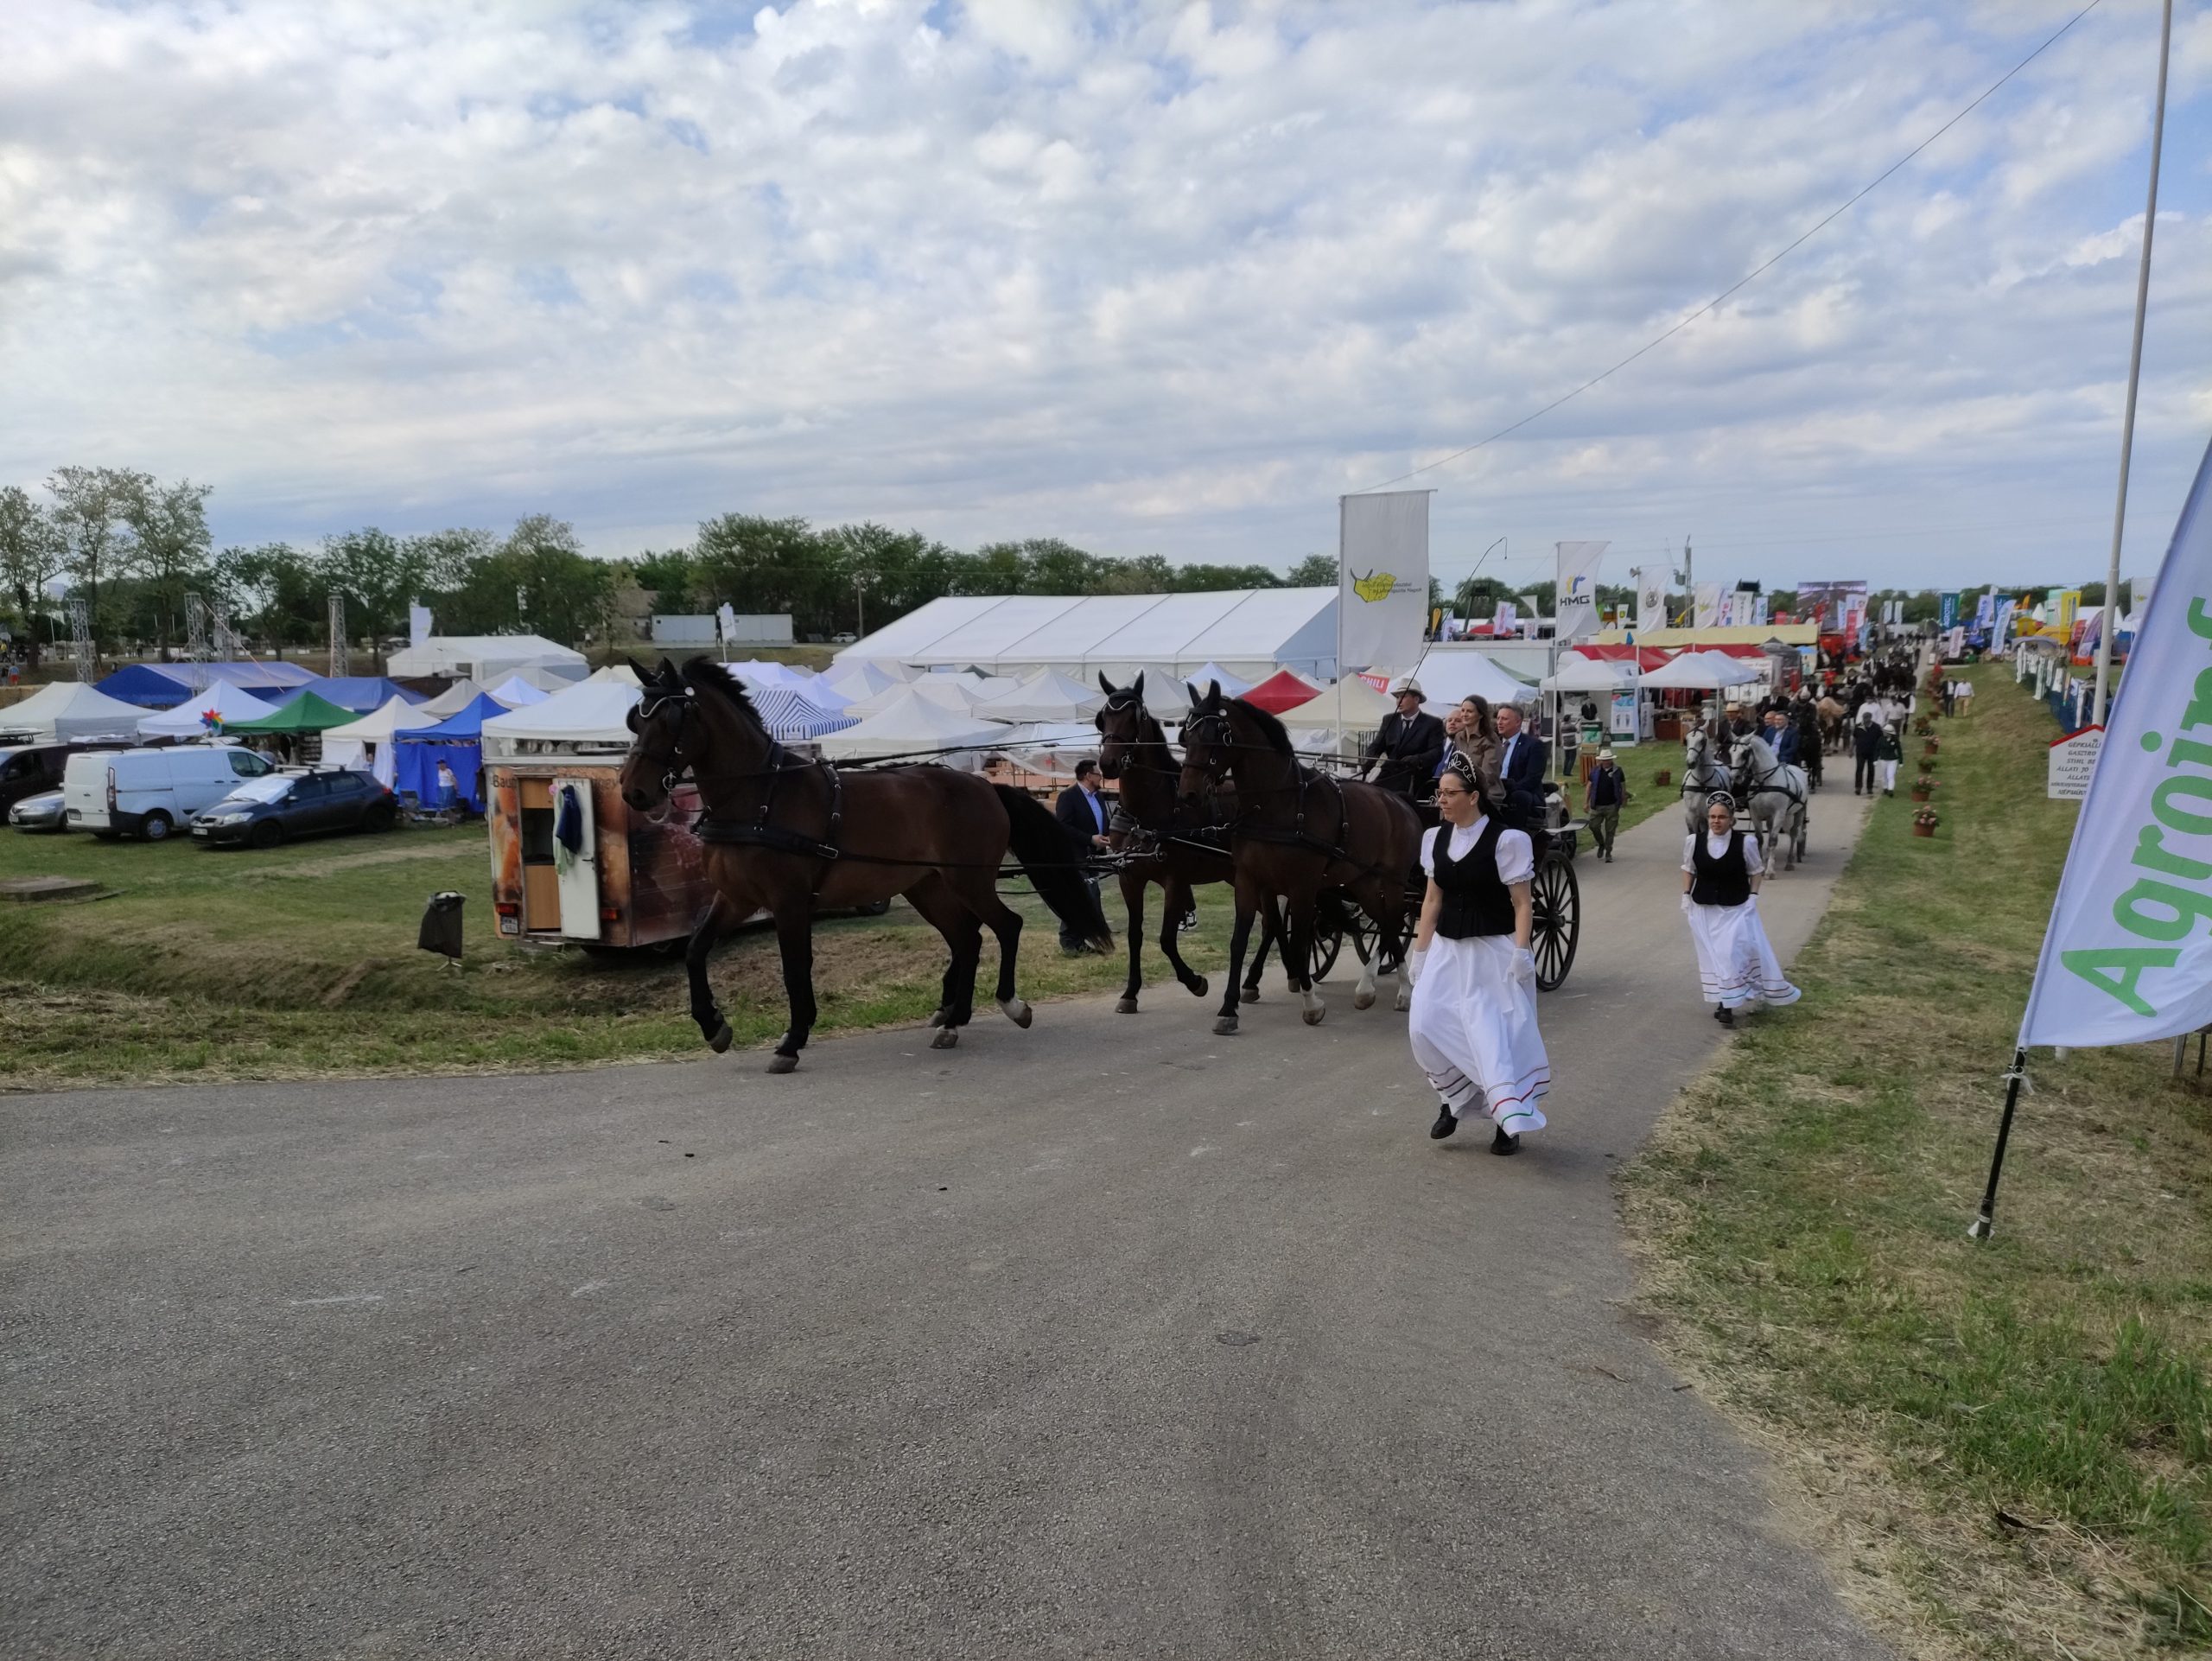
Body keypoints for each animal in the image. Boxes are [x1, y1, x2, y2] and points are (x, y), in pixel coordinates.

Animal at [619, 663, 1106, 1079]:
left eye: (669, 722)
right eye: (634, 723)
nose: (633, 792)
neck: (760, 798)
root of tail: (984, 786)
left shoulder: (789, 902)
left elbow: (795, 968)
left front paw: (792, 1041)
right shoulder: (737, 898)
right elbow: (695, 949)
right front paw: (714, 1026)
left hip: (968, 880)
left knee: (1007, 925)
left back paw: (1009, 1004)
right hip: (928, 887)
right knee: (967, 939)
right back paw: (953, 1020)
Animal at [1092, 672, 1292, 1013]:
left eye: (1134, 718)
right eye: (1103, 718)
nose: (1108, 763)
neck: (1148, 809)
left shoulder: (1175, 880)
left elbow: (1165, 939)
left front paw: (1195, 981)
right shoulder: (1129, 878)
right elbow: (1134, 935)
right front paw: (1130, 992)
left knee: (1272, 924)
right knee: (1272, 924)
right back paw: (1258, 981)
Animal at [1176, 681, 1415, 1034]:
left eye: (1213, 735)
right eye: (1185, 736)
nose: (1188, 794)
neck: (1277, 806)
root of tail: (1399, 801)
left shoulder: (1303, 887)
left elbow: (1300, 939)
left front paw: (1311, 1003)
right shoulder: (1250, 881)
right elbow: (1240, 941)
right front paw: (1228, 1008)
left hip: (1394, 881)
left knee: (1395, 921)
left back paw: (1400, 990)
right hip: (1364, 882)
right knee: (1386, 922)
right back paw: (1370, 989)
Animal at [1734, 734, 1804, 875]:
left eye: (1744, 753)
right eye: (1731, 751)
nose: (1735, 776)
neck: (1765, 782)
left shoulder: (1779, 813)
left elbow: (1773, 840)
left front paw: (1770, 871)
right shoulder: (1755, 813)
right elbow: (1760, 839)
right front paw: (1761, 866)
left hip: (1799, 811)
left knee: (1794, 833)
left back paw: (1790, 862)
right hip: (1769, 816)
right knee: (1771, 829)